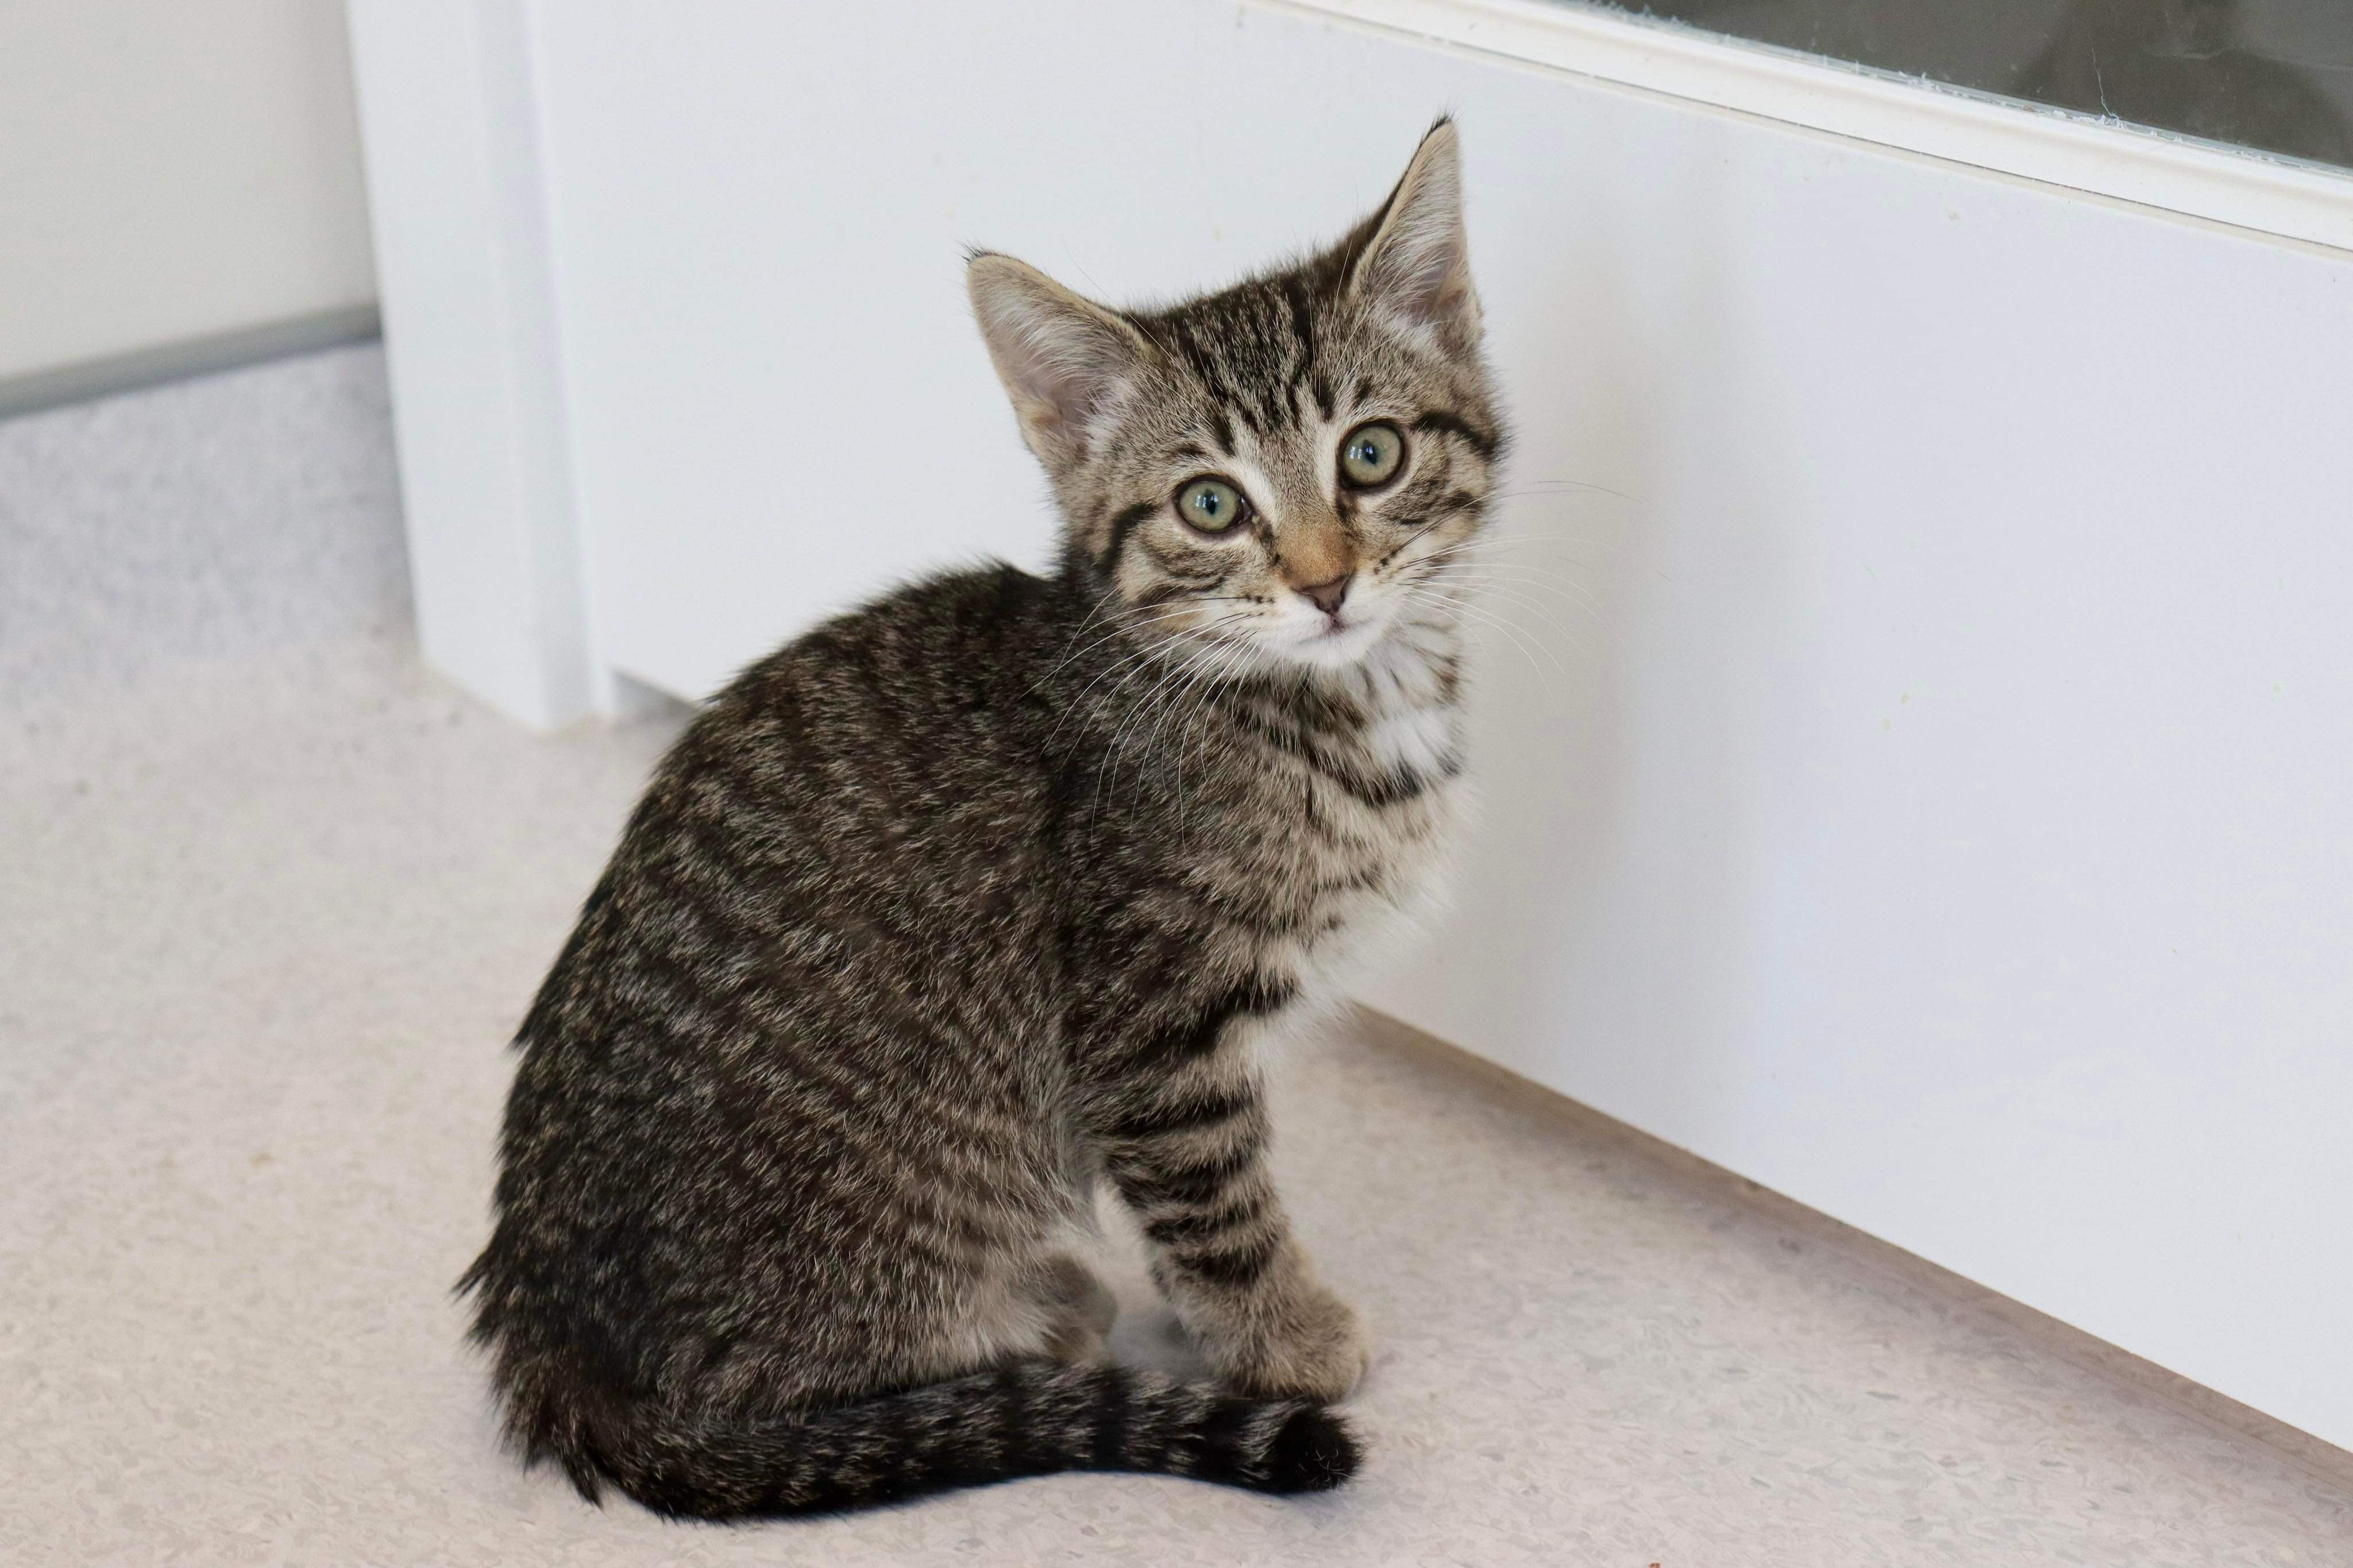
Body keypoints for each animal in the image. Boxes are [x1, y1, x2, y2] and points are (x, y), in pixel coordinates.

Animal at [461, 122, 1496, 1523]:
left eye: (1371, 456)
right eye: (1211, 506)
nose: (1328, 583)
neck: (1326, 707)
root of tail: (555, 1345)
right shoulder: (1149, 1028)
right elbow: (1216, 1206)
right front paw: (1281, 1340)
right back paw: (1026, 1322)